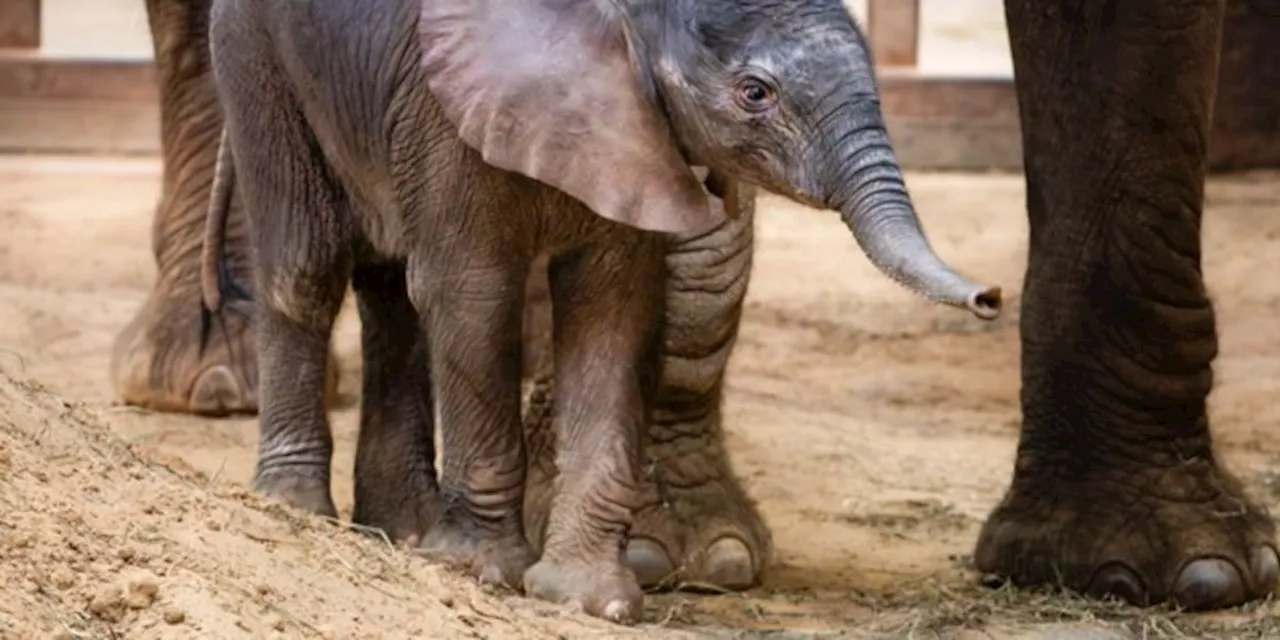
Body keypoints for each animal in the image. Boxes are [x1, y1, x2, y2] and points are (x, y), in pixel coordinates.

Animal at [207, 0, 998, 624]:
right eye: (755, 92)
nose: (989, 298)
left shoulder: (639, 136)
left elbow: (613, 313)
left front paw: (589, 600)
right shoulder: (447, 111)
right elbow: (472, 291)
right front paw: (484, 571)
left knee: (389, 293)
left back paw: (400, 533)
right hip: (256, 61)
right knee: (307, 267)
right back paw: (297, 509)